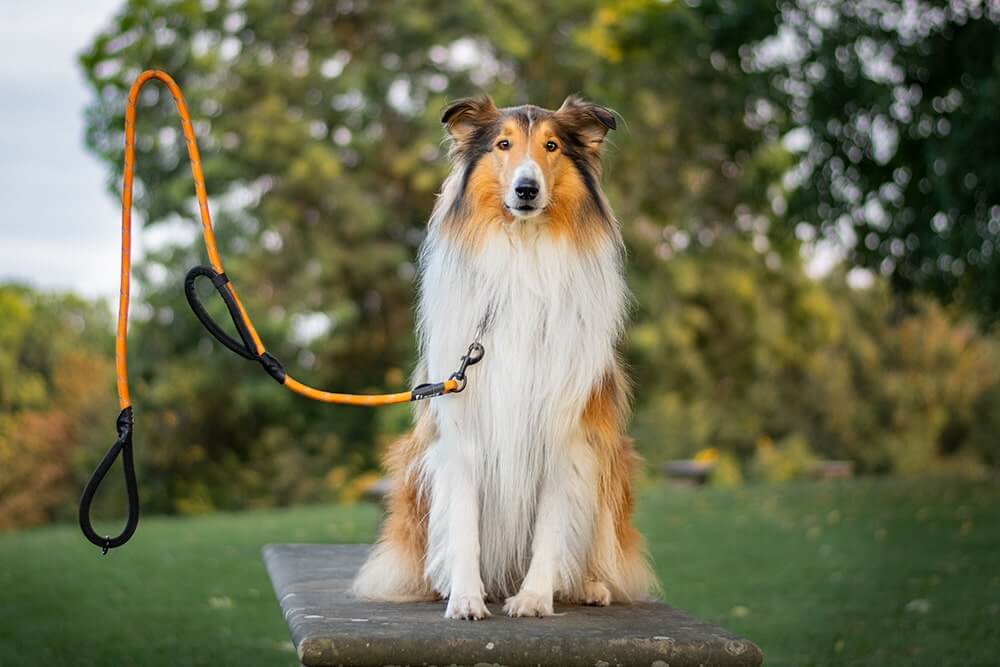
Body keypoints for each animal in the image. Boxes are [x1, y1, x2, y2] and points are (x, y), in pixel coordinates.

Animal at [352, 95, 656, 620]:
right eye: (503, 145)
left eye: (552, 146)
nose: (526, 189)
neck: (522, 256)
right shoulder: (463, 429)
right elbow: (463, 527)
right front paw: (465, 597)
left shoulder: (566, 432)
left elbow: (552, 527)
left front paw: (534, 597)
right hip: (413, 462)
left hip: (612, 460)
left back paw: (592, 585)